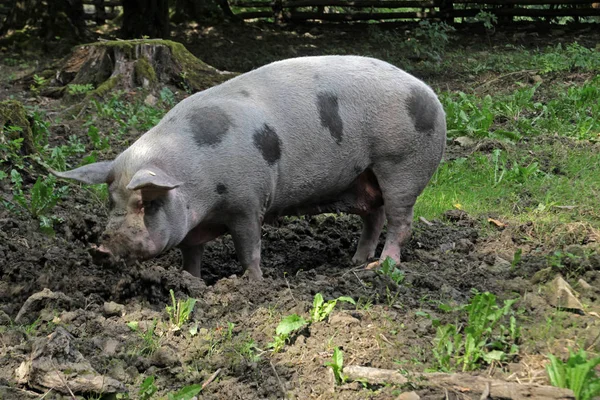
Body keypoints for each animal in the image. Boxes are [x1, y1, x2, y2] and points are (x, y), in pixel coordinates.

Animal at [52, 56, 446, 282]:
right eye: (110, 202)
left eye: (147, 204)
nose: (101, 249)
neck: (194, 183)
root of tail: (430, 93)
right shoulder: (193, 224)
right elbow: (190, 252)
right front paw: (192, 281)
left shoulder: (248, 201)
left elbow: (248, 246)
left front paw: (252, 283)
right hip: (363, 176)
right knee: (374, 216)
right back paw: (355, 260)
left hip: (402, 165)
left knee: (400, 221)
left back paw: (381, 268)